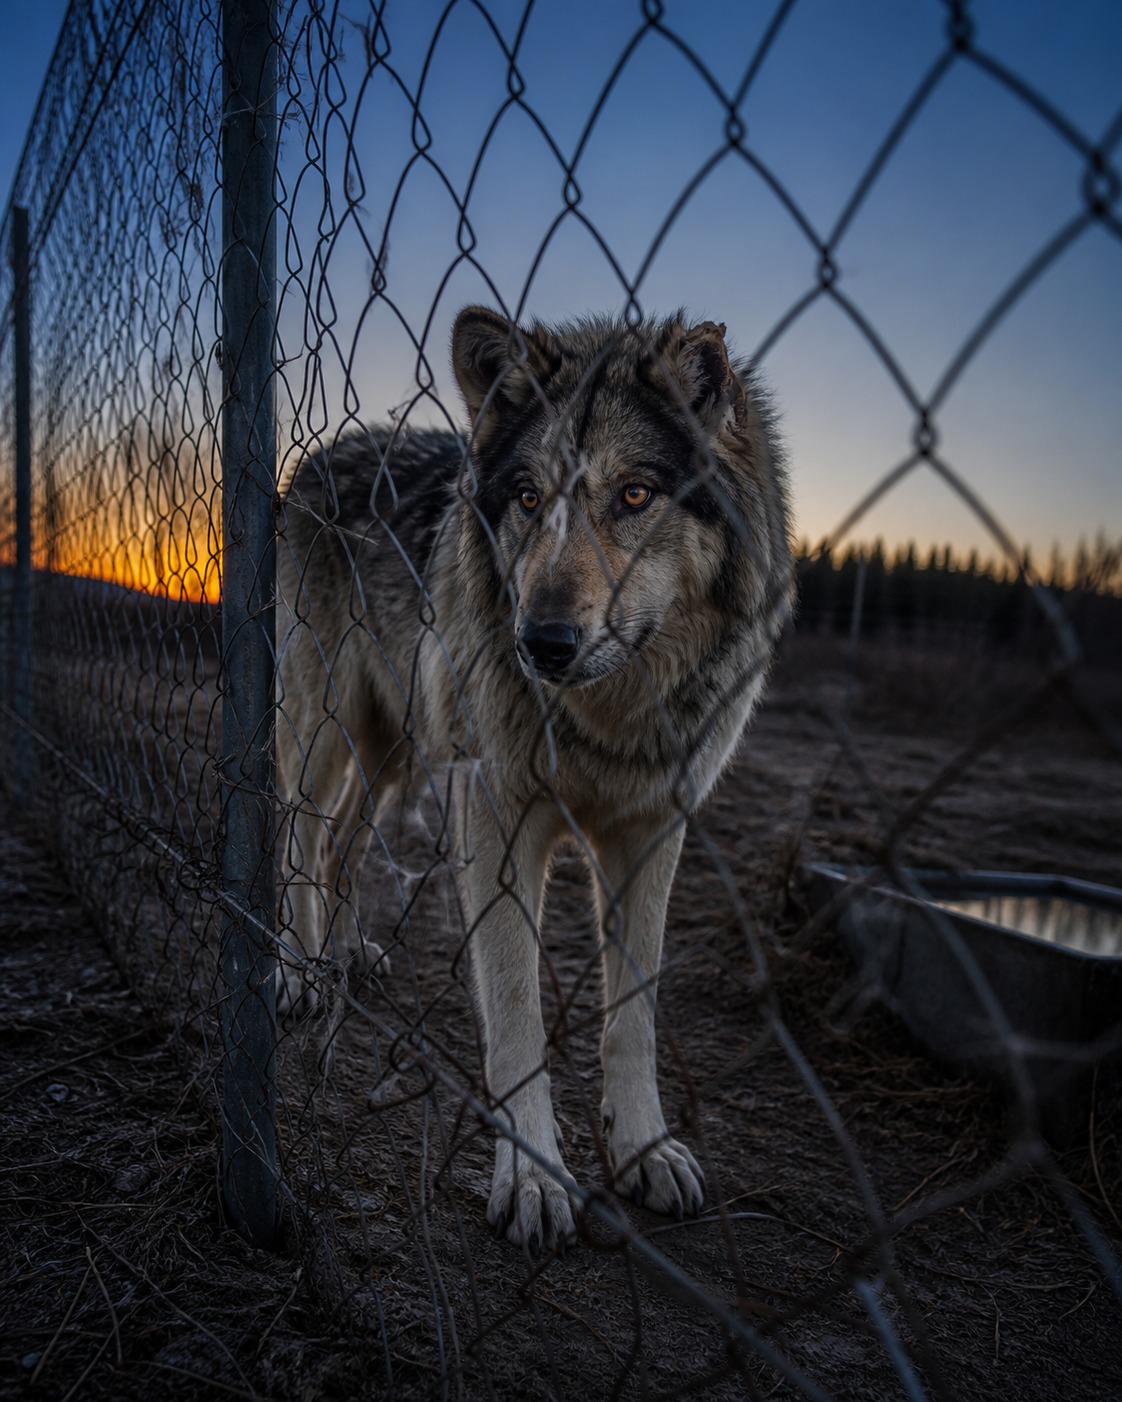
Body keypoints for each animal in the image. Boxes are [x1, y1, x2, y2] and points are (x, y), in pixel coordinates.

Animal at [276, 306, 793, 1252]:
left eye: (635, 496)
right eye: (525, 499)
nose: (541, 642)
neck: (611, 716)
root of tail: (326, 453)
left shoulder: (652, 834)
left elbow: (635, 1015)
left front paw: (645, 1149)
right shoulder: (495, 817)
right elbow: (517, 1011)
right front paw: (534, 1179)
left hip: (398, 752)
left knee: (340, 847)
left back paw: (346, 956)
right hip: (322, 727)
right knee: (299, 835)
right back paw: (296, 971)